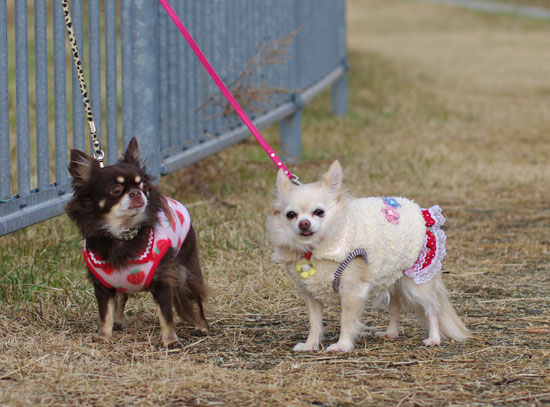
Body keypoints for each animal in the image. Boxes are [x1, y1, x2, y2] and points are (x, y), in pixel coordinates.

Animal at [66, 138, 209, 348]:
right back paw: (118, 320)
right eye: (115, 190)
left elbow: (166, 315)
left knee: (194, 296)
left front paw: (170, 341)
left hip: (185, 268)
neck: (123, 233)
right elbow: (105, 312)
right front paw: (103, 336)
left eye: (142, 186)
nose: (136, 193)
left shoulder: (162, 280)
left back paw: (202, 327)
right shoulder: (103, 286)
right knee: (121, 296)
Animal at [266, 161, 470, 352]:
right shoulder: (310, 292)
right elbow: (314, 322)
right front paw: (310, 344)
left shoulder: (352, 290)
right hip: (392, 277)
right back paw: (390, 333)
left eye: (319, 212)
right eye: (291, 215)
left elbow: (346, 320)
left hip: (417, 282)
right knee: (395, 307)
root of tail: (419, 211)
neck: (316, 247)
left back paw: (434, 338)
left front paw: (342, 345)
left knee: (432, 309)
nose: (304, 223)